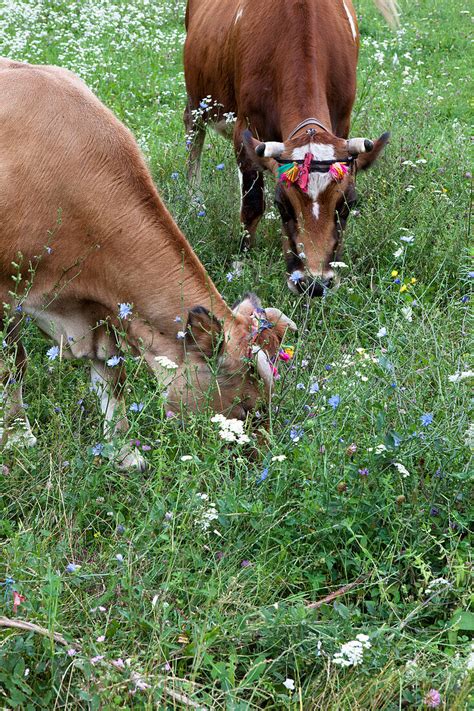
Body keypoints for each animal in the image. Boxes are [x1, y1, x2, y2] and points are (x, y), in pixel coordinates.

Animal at [0, 61, 294, 470]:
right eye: (246, 405)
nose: (267, 458)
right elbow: (13, 365)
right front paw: (17, 436)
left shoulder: (104, 308)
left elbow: (112, 372)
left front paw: (122, 451)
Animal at [183, 0, 398, 296]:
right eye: (282, 205)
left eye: (347, 204)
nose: (315, 284)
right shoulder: (245, 130)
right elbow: (252, 203)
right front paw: (240, 264)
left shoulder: (343, 122)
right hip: (197, 98)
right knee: (194, 133)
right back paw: (194, 201)